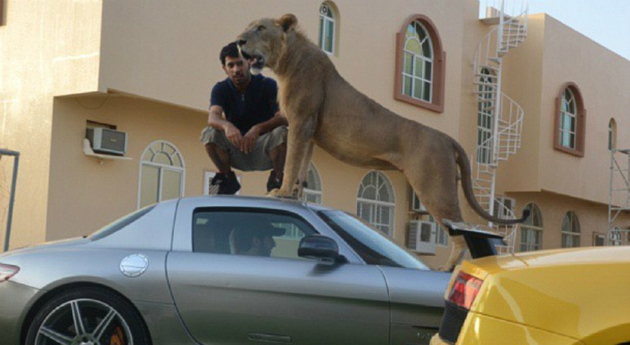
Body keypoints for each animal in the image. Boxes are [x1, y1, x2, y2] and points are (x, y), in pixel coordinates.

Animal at [237, 14, 528, 270]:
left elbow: (291, 162)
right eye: (248, 27)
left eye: (260, 28)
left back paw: (447, 268)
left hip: (434, 188)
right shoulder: (309, 131)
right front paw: (295, 194)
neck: (287, 60)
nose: (239, 41)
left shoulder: (301, 121)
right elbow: (301, 165)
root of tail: (447, 137)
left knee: (460, 231)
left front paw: (281, 192)